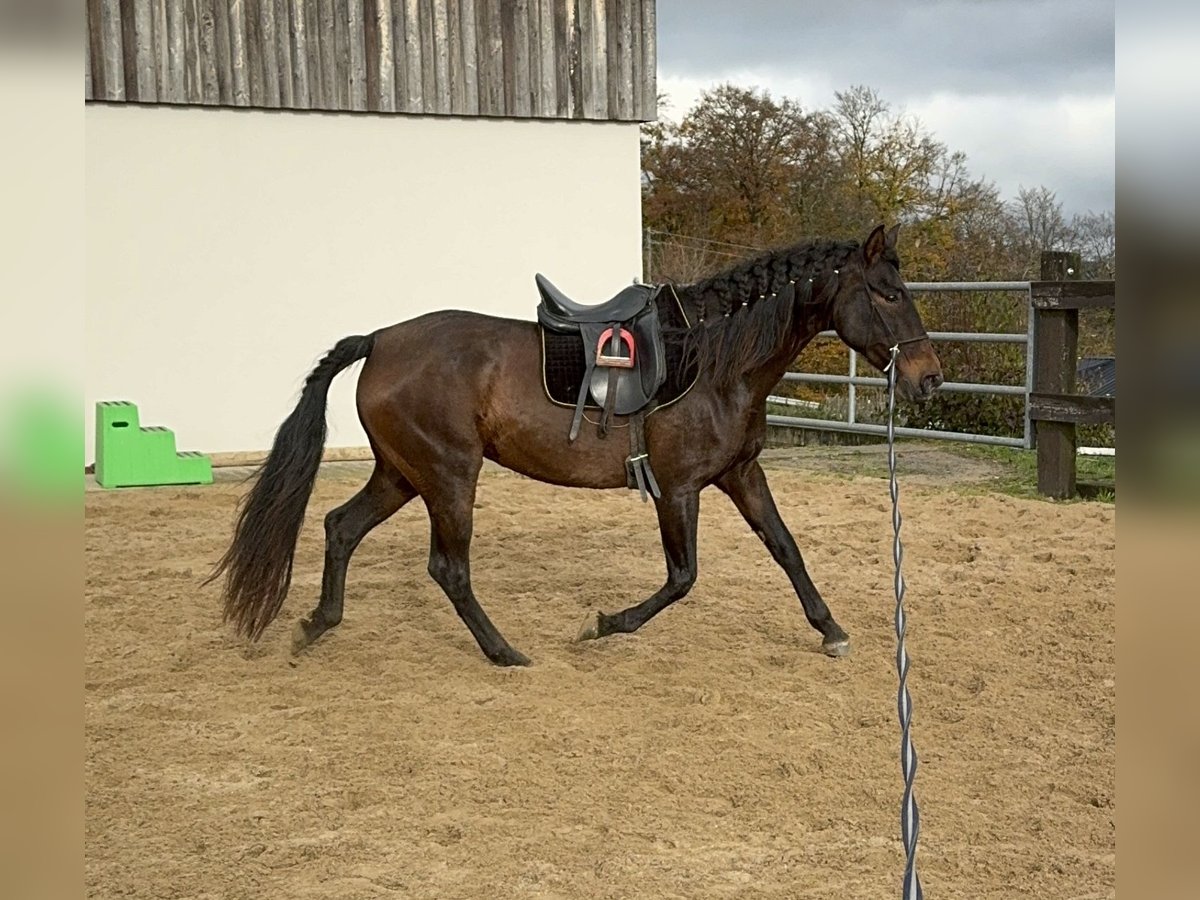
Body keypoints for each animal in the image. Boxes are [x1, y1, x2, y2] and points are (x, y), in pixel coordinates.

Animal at [211, 224, 940, 672]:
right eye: (889, 293)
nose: (928, 378)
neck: (715, 360)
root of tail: (381, 339)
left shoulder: (740, 474)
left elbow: (786, 549)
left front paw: (831, 630)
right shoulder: (678, 489)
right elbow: (682, 577)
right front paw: (604, 624)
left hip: (402, 473)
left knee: (341, 528)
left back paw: (317, 625)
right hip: (448, 475)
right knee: (449, 569)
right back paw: (504, 652)